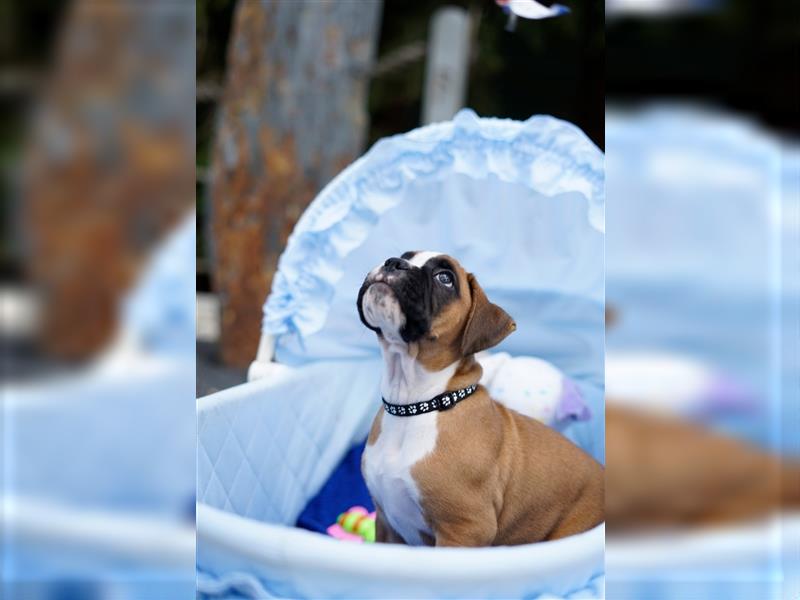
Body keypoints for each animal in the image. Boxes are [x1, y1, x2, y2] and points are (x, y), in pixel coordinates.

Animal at [360, 251, 604, 548]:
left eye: (445, 278)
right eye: (406, 256)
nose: (394, 262)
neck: (417, 406)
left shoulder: (465, 529)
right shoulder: (386, 526)